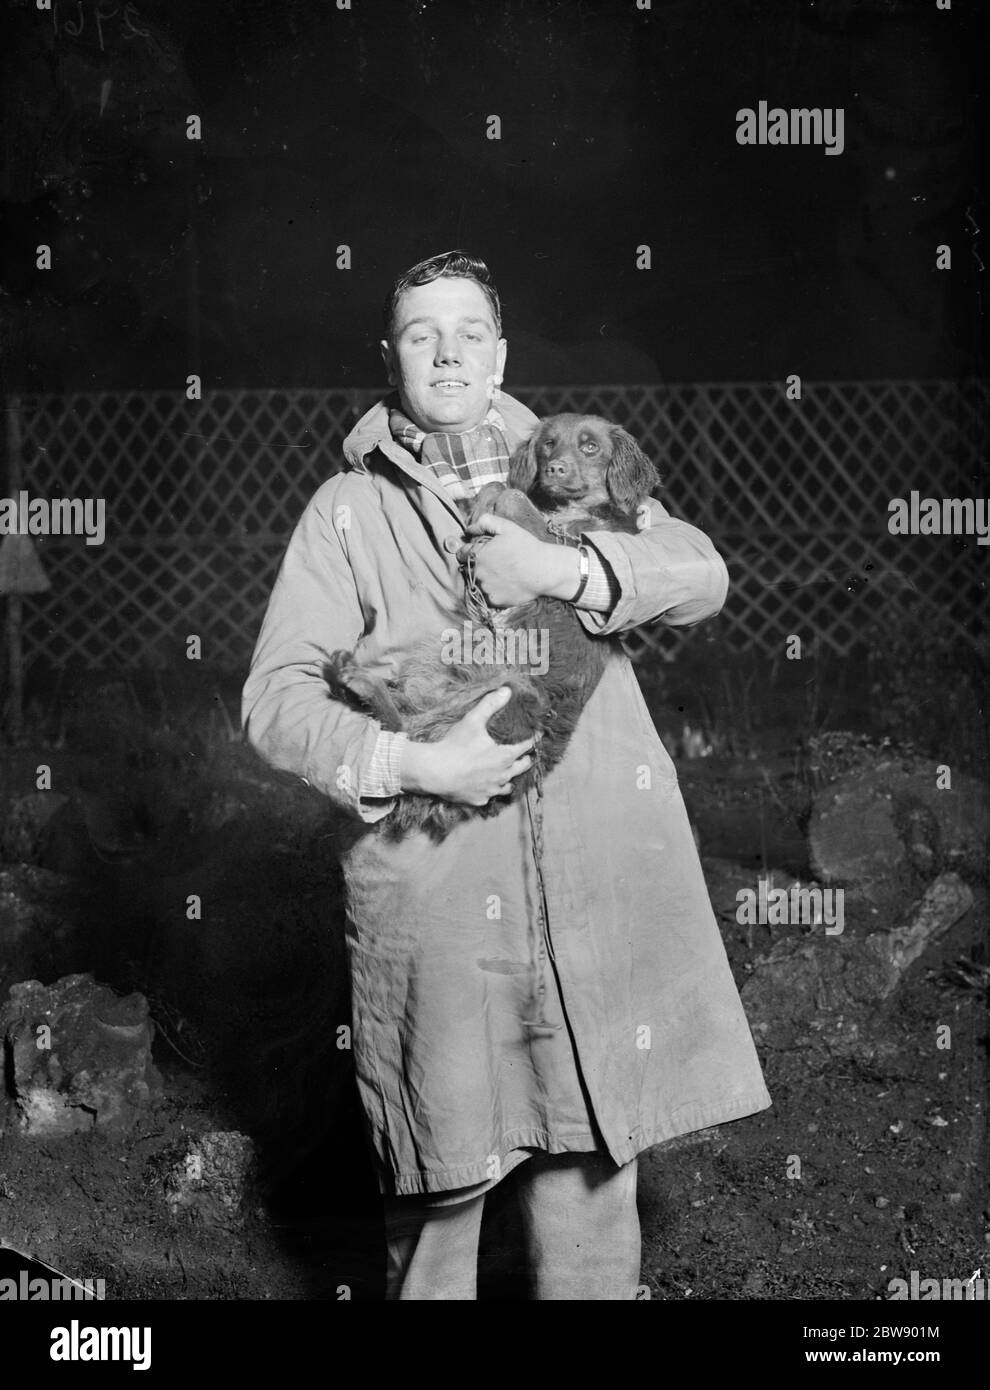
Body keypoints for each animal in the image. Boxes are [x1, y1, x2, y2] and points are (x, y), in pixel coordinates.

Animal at [328, 411, 661, 834]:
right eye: (548, 444)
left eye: (590, 447)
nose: (555, 468)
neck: (565, 510)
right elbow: (500, 484)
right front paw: (479, 506)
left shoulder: (557, 546)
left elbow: (513, 495)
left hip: (509, 691)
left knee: (403, 729)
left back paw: (358, 682)